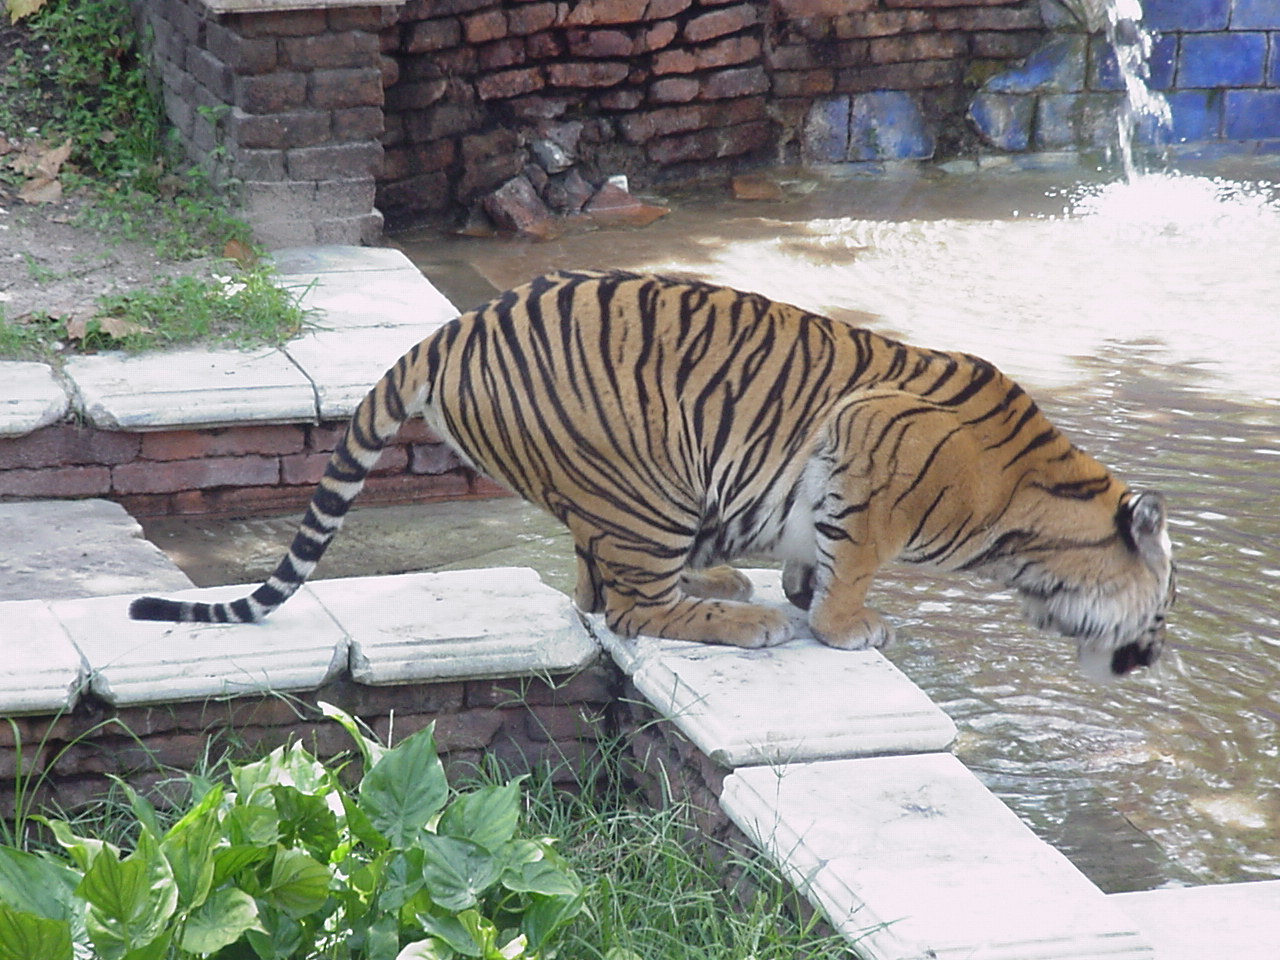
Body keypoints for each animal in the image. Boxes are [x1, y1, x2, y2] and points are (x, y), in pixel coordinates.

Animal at [130, 269, 1175, 676]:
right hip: (650, 482)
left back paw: (727, 585)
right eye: (1162, 611)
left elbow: (820, 551)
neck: (1032, 514)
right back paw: (744, 618)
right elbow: (854, 564)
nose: (1154, 656)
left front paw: (806, 589)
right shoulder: (867, 441)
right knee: (625, 607)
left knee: (594, 586)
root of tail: (455, 327)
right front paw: (846, 627)